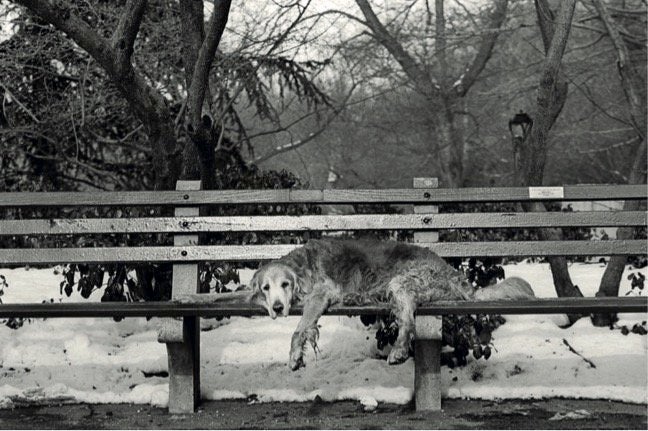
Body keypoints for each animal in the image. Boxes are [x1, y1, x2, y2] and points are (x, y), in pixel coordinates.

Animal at [246, 238, 536, 370]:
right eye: (266, 288)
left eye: (285, 284)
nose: (278, 308)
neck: (302, 265)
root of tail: (452, 273)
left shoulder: (321, 293)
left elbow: (300, 328)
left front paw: (295, 355)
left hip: (400, 283)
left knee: (407, 323)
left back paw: (397, 351)